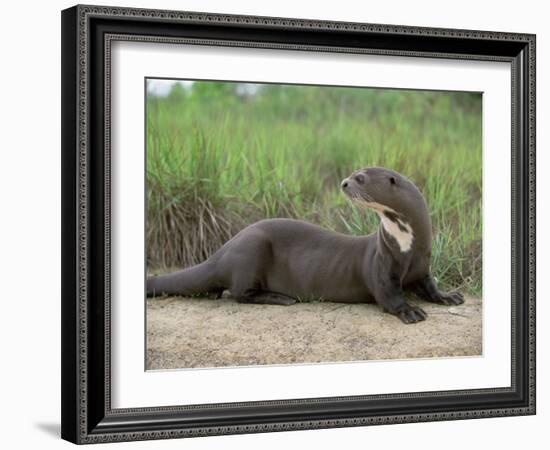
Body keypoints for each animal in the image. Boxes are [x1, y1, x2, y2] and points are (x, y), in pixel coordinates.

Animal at [148, 167, 466, 322]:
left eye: (361, 177)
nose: (344, 183)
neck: (407, 246)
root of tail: (222, 251)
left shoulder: (423, 265)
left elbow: (430, 287)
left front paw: (450, 297)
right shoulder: (382, 267)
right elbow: (388, 296)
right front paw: (409, 311)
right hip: (251, 248)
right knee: (238, 293)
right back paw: (281, 298)